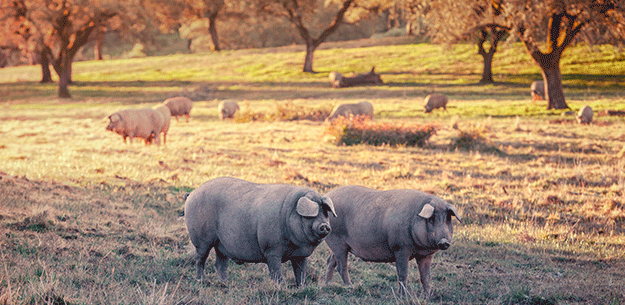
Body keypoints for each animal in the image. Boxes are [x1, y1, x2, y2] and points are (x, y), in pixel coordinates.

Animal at [183, 176, 334, 284]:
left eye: (325, 212)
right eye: (311, 215)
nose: (325, 226)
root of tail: (192, 194)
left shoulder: (301, 256)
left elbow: (301, 273)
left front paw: (301, 288)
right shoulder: (271, 249)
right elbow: (276, 272)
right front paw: (281, 287)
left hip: (222, 244)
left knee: (220, 263)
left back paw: (224, 283)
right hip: (201, 239)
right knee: (200, 259)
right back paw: (201, 281)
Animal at [324, 184, 460, 296]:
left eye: (448, 219)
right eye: (432, 219)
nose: (444, 242)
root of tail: (327, 196)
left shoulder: (425, 255)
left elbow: (426, 277)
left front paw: (427, 296)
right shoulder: (401, 249)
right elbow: (403, 274)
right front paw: (404, 296)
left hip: (337, 246)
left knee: (330, 261)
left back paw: (328, 284)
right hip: (337, 242)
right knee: (341, 267)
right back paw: (350, 287)